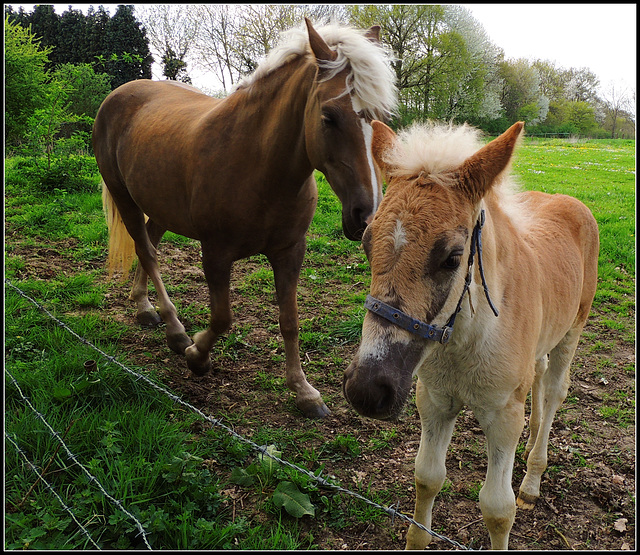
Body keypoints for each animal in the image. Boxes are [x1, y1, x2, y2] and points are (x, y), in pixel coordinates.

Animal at [93, 19, 398, 420]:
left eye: (381, 118)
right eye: (329, 117)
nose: (365, 214)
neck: (258, 164)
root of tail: (119, 94)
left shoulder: (290, 252)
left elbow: (290, 321)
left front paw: (304, 392)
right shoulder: (215, 253)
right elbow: (222, 317)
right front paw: (196, 355)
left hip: (159, 206)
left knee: (150, 244)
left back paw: (144, 306)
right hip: (125, 197)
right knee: (147, 252)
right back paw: (174, 331)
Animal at [344, 119, 600, 548]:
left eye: (452, 257)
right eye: (366, 243)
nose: (367, 390)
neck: (463, 343)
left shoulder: (503, 416)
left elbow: (498, 509)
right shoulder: (433, 400)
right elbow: (426, 478)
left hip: (572, 331)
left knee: (554, 392)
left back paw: (532, 477)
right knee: (538, 377)